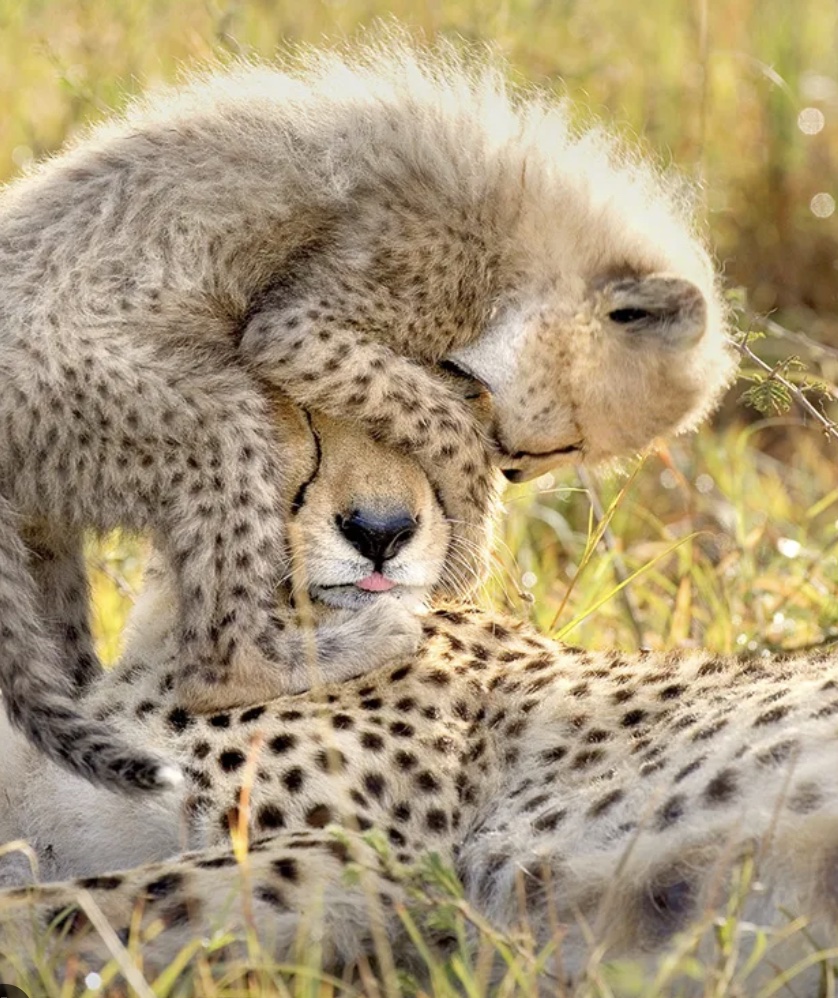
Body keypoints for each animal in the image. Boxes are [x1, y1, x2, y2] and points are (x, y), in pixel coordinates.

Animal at [0, 30, 737, 797]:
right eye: (566, 445)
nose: (516, 465)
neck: (532, 224)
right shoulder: (313, 319)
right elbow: (432, 414)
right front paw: (471, 525)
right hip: (195, 420)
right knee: (214, 671)